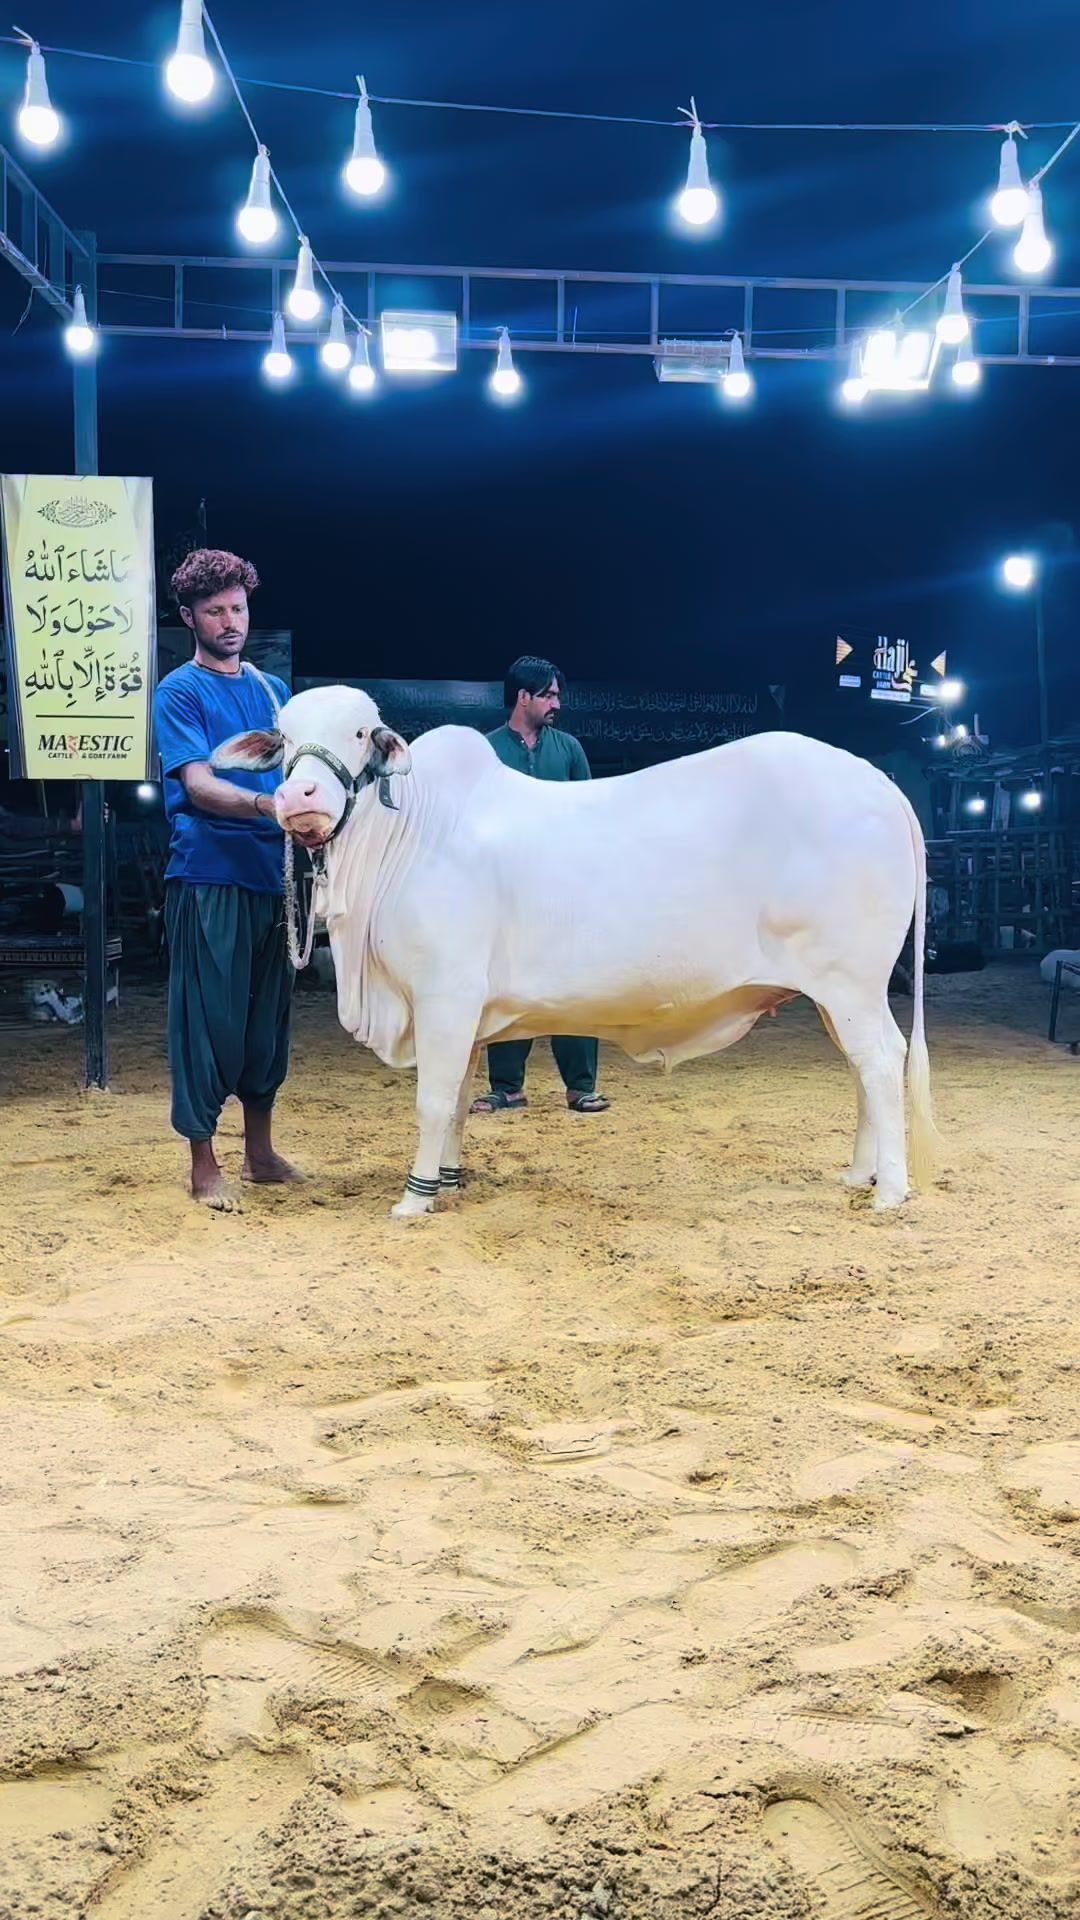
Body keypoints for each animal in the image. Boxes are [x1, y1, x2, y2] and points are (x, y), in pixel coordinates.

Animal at [215, 687, 935, 1219]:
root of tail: (880, 782)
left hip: (850, 983)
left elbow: (431, 1100)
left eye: (362, 733)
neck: (410, 833)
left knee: (881, 1062)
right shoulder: (465, 1014)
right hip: (837, 994)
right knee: (863, 1069)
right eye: (282, 736)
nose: (298, 798)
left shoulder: (444, 996)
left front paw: (414, 1200)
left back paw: (892, 1192)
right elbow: (458, 1101)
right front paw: (447, 1180)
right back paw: (860, 1174)